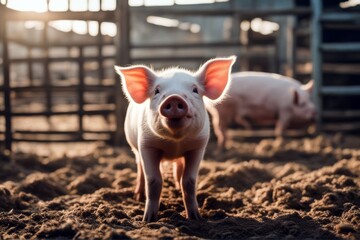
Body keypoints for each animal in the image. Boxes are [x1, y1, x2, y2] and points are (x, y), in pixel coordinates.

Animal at [114, 56, 235, 221]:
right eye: (157, 91)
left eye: (195, 90)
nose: (174, 97)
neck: (175, 142)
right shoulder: (146, 145)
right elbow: (154, 180)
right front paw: (148, 219)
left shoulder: (198, 146)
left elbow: (189, 181)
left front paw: (195, 218)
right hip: (135, 148)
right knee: (140, 168)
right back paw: (138, 196)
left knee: (178, 167)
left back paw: (177, 188)